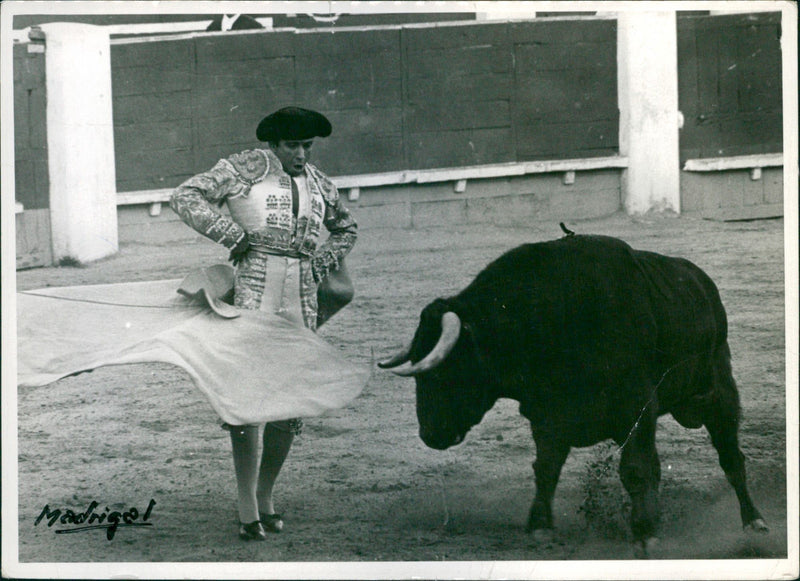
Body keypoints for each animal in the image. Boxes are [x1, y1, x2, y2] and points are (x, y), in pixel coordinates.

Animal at [382, 229, 768, 552]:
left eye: (443, 371)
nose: (430, 435)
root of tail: (702, 283)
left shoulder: (636, 406)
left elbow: (636, 469)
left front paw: (645, 533)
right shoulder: (547, 413)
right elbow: (546, 468)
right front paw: (540, 525)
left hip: (718, 393)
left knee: (731, 458)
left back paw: (754, 522)